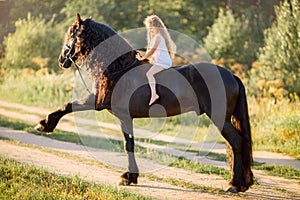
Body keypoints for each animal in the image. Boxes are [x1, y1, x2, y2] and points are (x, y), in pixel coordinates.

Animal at [36, 13, 254, 193]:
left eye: (71, 35)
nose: (61, 60)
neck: (119, 68)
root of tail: (231, 75)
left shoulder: (109, 108)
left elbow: (71, 107)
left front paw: (45, 124)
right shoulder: (116, 111)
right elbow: (129, 143)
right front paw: (131, 177)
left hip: (220, 118)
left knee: (236, 142)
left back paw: (235, 184)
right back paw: (241, 183)